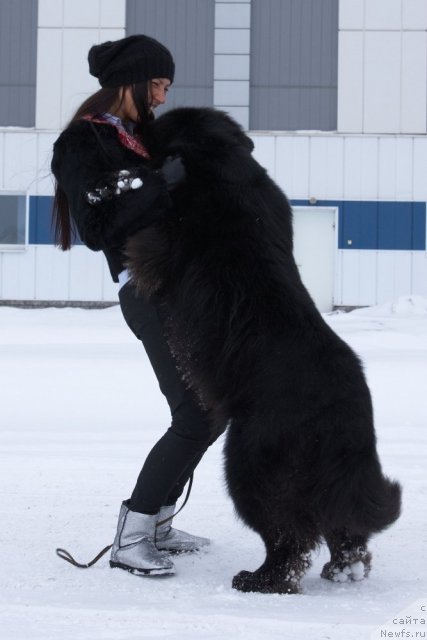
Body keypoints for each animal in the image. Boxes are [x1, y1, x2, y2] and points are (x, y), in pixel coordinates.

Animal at [125, 109, 402, 596]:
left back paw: (261, 579)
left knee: (289, 536)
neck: (225, 163)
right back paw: (342, 569)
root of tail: (346, 410)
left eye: (164, 124)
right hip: (329, 473)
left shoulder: (172, 237)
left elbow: (150, 239)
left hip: (249, 462)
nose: (141, 120)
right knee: (341, 526)